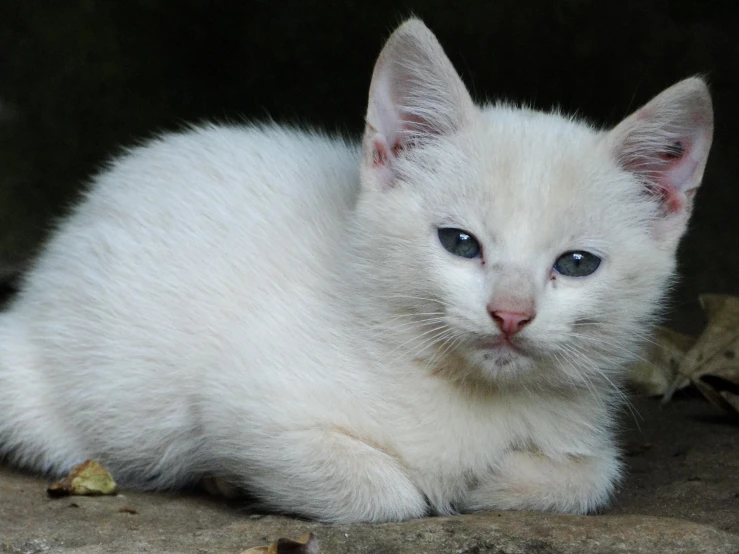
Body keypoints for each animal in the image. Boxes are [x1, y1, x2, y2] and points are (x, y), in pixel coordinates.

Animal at [0, 20, 712, 520]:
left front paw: (494, 481)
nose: (511, 315)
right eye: (459, 243)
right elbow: (387, 493)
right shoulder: (241, 397)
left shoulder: (581, 428)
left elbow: (593, 474)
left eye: (577, 263)